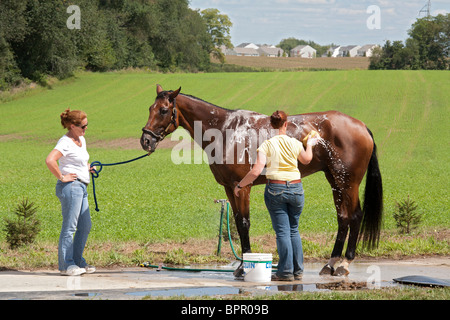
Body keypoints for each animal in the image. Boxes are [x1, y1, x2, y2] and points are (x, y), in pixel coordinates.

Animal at [141, 85, 384, 278]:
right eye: (150, 108)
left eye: (164, 110)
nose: (145, 140)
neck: (225, 130)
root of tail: (361, 126)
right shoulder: (230, 188)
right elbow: (238, 223)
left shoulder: (243, 187)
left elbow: (244, 223)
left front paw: (242, 267)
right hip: (335, 180)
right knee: (343, 218)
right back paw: (331, 263)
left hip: (348, 183)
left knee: (354, 216)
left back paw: (344, 263)